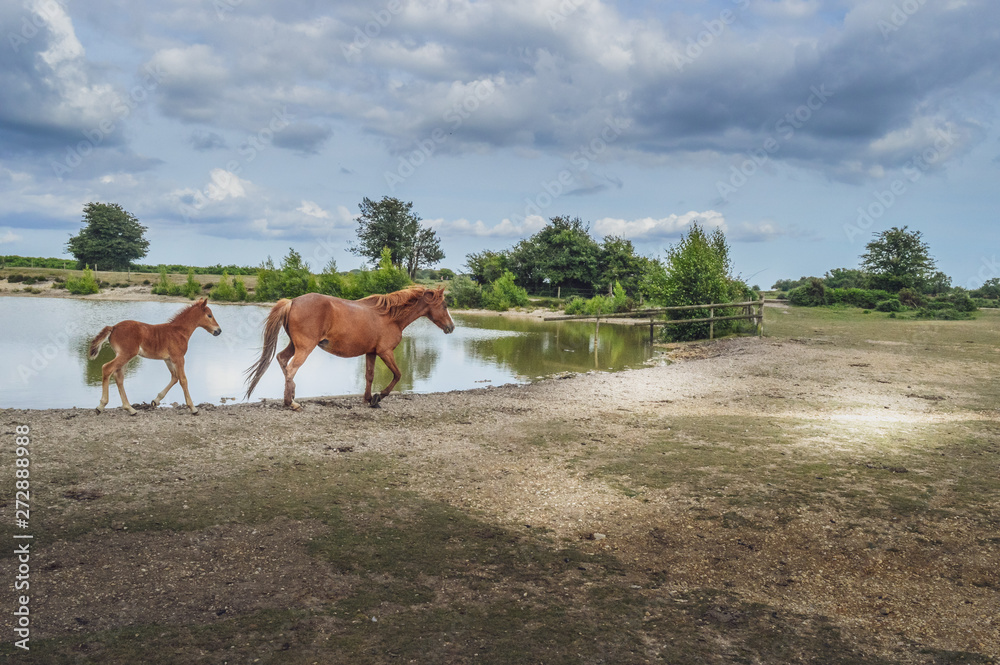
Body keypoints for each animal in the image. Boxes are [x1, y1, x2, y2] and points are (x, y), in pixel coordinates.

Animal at [88, 297, 222, 416]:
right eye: (209, 315)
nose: (218, 331)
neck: (179, 332)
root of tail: (113, 327)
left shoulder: (168, 359)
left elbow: (175, 377)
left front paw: (155, 401)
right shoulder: (178, 358)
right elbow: (183, 380)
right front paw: (193, 408)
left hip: (124, 356)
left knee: (119, 377)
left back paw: (130, 409)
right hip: (126, 354)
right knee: (107, 368)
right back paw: (101, 406)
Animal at [244, 285, 455, 410]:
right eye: (444, 305)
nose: (451, 327)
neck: (390, 316)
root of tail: (292, 301)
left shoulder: (371, 352)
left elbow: (369, 376)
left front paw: (369, 399)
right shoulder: (385, 352)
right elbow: (397, 375)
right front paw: (379, 397)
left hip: (295, 345)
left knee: (282, 359)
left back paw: (292, 395)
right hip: (304, 347)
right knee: (291, 368)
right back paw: (291, 403)